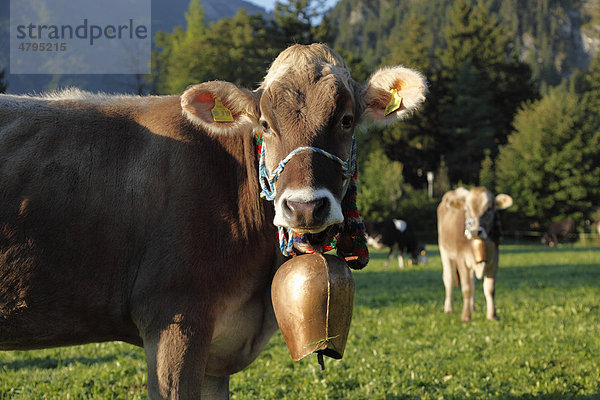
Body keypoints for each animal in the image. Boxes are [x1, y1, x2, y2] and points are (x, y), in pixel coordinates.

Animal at [434, 187, 512, 322]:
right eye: (466, 209)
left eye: (489, 208)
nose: (475, 231)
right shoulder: (461, 259)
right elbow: (466, 288)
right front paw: (466, 316)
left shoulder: (494, 259)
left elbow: (490, 289)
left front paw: (492, 316)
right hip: (444, 252)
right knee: (449, 278)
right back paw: (449, 308)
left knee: (472, 282)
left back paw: (472, 307)